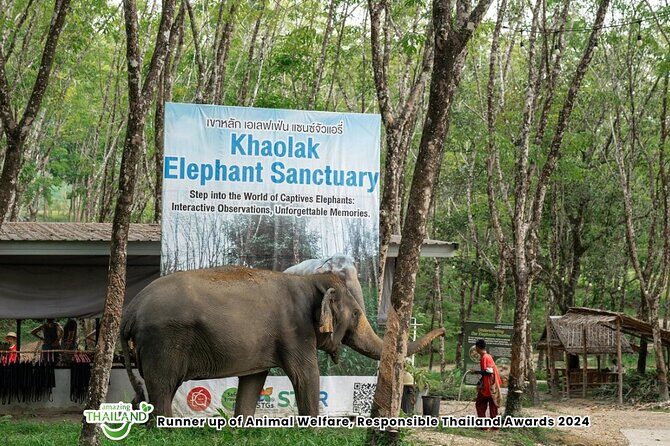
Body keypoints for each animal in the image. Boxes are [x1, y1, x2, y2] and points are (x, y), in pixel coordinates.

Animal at [121, 266, 444, 418]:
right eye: (354, 314)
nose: (441, 331)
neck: (311, 281)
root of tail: (132, 308)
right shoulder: (295, 332)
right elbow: (306, 375)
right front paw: (313, 431)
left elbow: (254, 380)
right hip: (162, 340)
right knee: (162, 387)